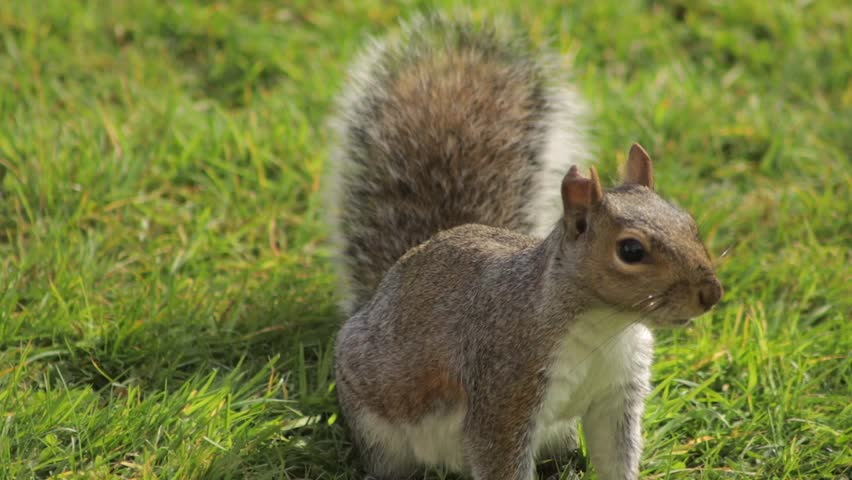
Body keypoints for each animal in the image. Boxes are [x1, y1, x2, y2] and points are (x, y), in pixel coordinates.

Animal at [327, 13, 723, 480]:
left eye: (689, 223)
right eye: (630, 251)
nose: (711, 294)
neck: (606, 327)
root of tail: (378, 294)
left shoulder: (617, 394)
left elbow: (615, 454)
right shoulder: (505, 387)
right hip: (379, 425)